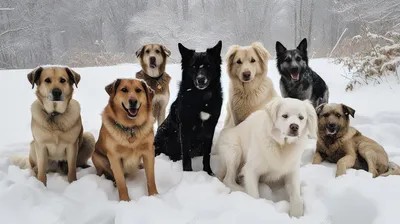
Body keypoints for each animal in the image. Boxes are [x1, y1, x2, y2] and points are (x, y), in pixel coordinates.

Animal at [154, 41, 223, 176]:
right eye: (193, 66)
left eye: (208, 65)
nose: (201, 80)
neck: (202, 98)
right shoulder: (185, 128)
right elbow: (186, 155)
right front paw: (188, 174)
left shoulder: (210, 128)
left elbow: (207, 154)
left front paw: (208, 173)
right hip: (163, 133)